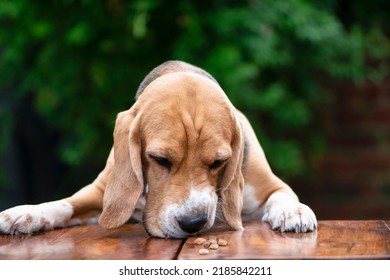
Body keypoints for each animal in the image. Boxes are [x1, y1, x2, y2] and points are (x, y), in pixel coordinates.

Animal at [0, 60, 316, 237]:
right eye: (160, 159)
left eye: (218, 162)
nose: (193, 223)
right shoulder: (102, 191)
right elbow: (65, 204)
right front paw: (26, 214)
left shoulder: (268, 186)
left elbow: (282, 195)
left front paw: (294, 211)